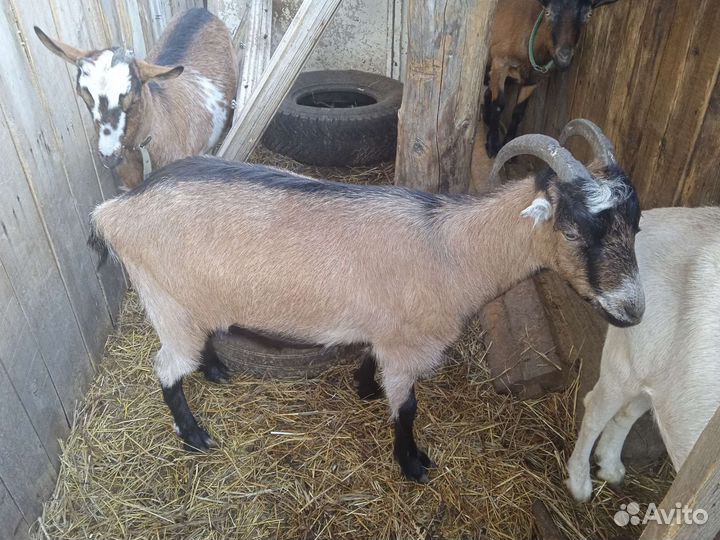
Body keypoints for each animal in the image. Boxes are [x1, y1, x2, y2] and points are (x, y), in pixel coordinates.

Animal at [90, 119, 644, 483]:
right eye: (573, 229)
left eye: (635, 224)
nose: (633, 309)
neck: (451, 250)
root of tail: (115, 210)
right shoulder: (407, 347)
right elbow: (409, 408)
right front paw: (413, 464)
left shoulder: (384, 332)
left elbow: (371, 363)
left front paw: (366, 387)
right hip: (164, 300)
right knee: (166, 368)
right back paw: (194, 434)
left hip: (190, 302)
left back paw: (215, 370)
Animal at [484, 0, 619, 157]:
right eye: (548, 12)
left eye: (588, 14)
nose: (564, 57)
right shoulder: (500, 63)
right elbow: (499, 104)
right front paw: (493, 145)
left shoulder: (534, 77)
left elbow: (519, 112)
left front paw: (509, 146)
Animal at [566, 206, 720, 502]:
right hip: (626, 356)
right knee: (595, 408)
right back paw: (579, 485)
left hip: (657, 371)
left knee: (629, 410)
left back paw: (610, 467)